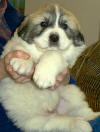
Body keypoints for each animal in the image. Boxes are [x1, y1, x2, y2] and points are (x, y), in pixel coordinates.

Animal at [0, 2, 99, 132]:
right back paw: (80, 124)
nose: (54, 37)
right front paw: (22, 62)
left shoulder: (67, 56)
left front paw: (44, 76)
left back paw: (91, 118)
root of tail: (54, 109)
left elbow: (53, 54)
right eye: (43, 24)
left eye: (64, 26)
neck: (40, 52)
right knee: (60, 121)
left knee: (81, 110)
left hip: (71, 91)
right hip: (39, 121)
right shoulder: (12, 46)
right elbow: (19, 47)